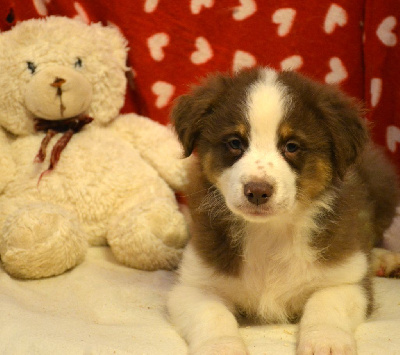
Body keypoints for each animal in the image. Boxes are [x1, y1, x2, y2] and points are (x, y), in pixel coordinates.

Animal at [168, 67, 400, 355]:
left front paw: (325, 341)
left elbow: (325, 304)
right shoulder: (193, 285)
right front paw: (222, 348)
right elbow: (212, 314)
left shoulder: (347, 279)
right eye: (235, 142)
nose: (257, 191)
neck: (270, 232)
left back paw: (383, 259)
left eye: (291, 146)